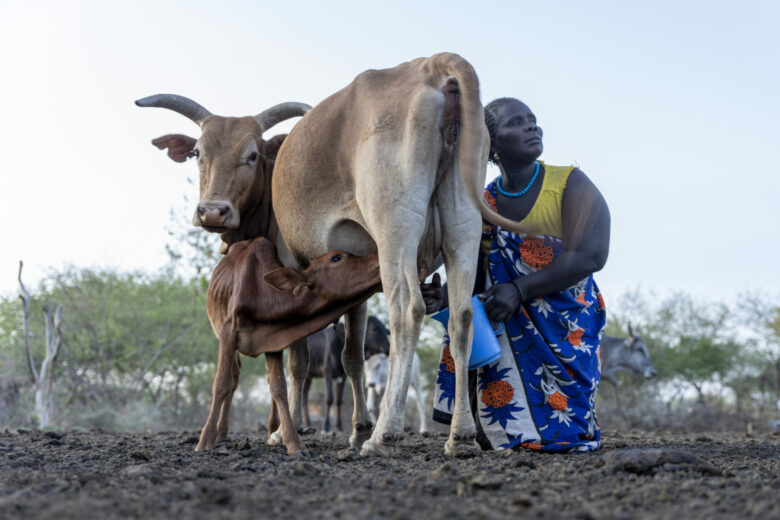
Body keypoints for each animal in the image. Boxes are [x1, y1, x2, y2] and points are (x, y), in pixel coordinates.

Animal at [198, 237, 380, 456]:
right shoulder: (228, 333)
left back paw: (266, 430)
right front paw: (205, 440)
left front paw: (293, 442)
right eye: (336, 258)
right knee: (233, 378)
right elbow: (221, 384)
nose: (378, 258)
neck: (262, 294)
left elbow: (278, 388)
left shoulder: (273, 340)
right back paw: (220, 432)